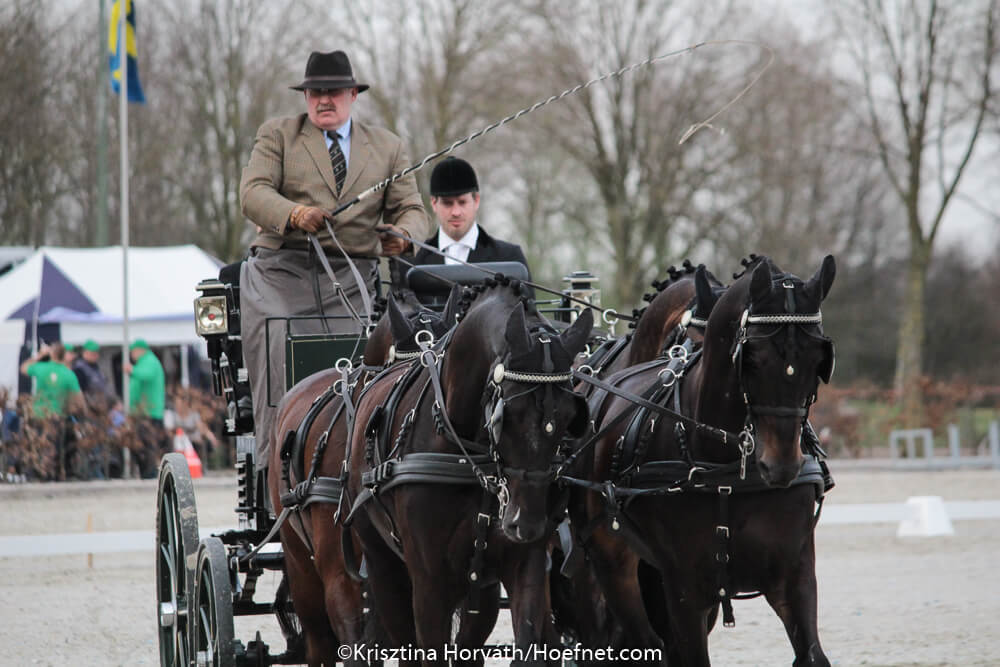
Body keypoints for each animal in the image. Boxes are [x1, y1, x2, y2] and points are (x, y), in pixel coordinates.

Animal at [344, 280, 593, 664]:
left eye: (570, 416)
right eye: (509, 413)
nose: (525, 523)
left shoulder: (524, 564)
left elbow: (528, 639)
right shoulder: (429, 581)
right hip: (383, 564)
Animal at [570, 256, 836, 666]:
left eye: (818, 359)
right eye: (752, 357)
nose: (781, 465)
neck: (727, 471)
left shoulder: (794, 574)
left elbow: (812, 654)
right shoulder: (685, 587)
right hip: (606, 563)